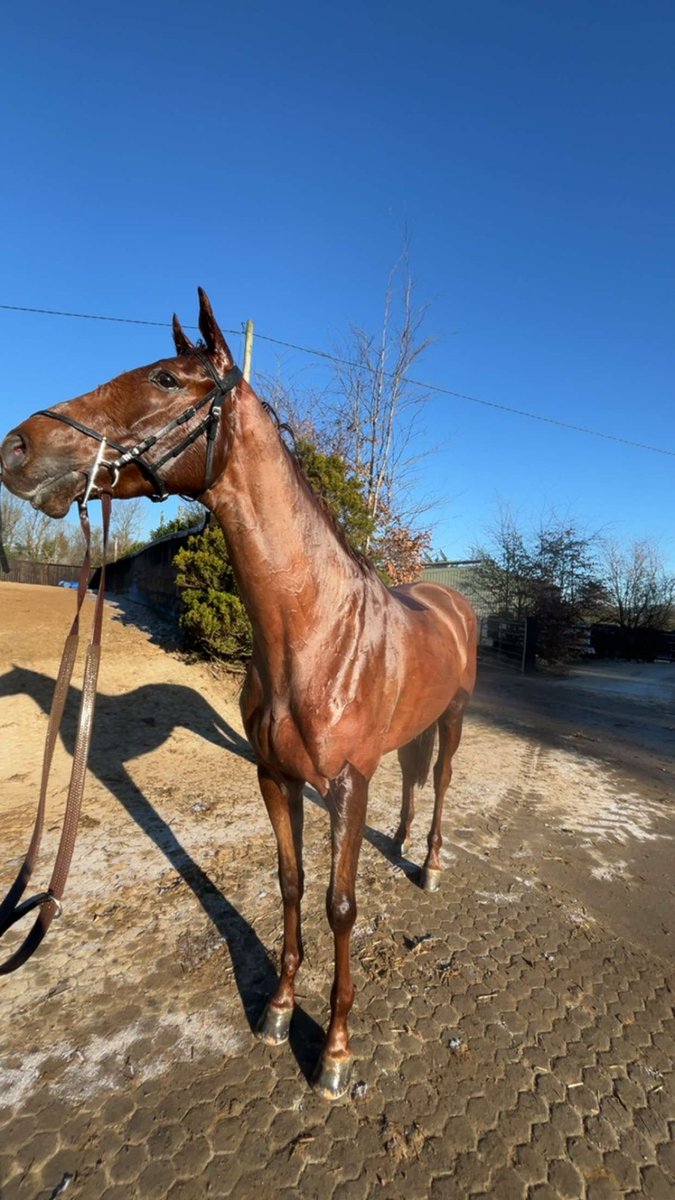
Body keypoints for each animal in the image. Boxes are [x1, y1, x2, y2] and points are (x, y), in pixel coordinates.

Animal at [0, 290, 475, 1099]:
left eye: (165, 378)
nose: (17, 448)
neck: (316, 633)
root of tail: (449, 599)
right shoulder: (274, 776)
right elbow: (290, 884)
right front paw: (279, 1010)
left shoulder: (345, 784)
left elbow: (340, 905)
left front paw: (334, 1052)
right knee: (412, 783)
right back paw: (404, 838)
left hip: (453, 719)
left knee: (438, 783)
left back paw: (429, 862)